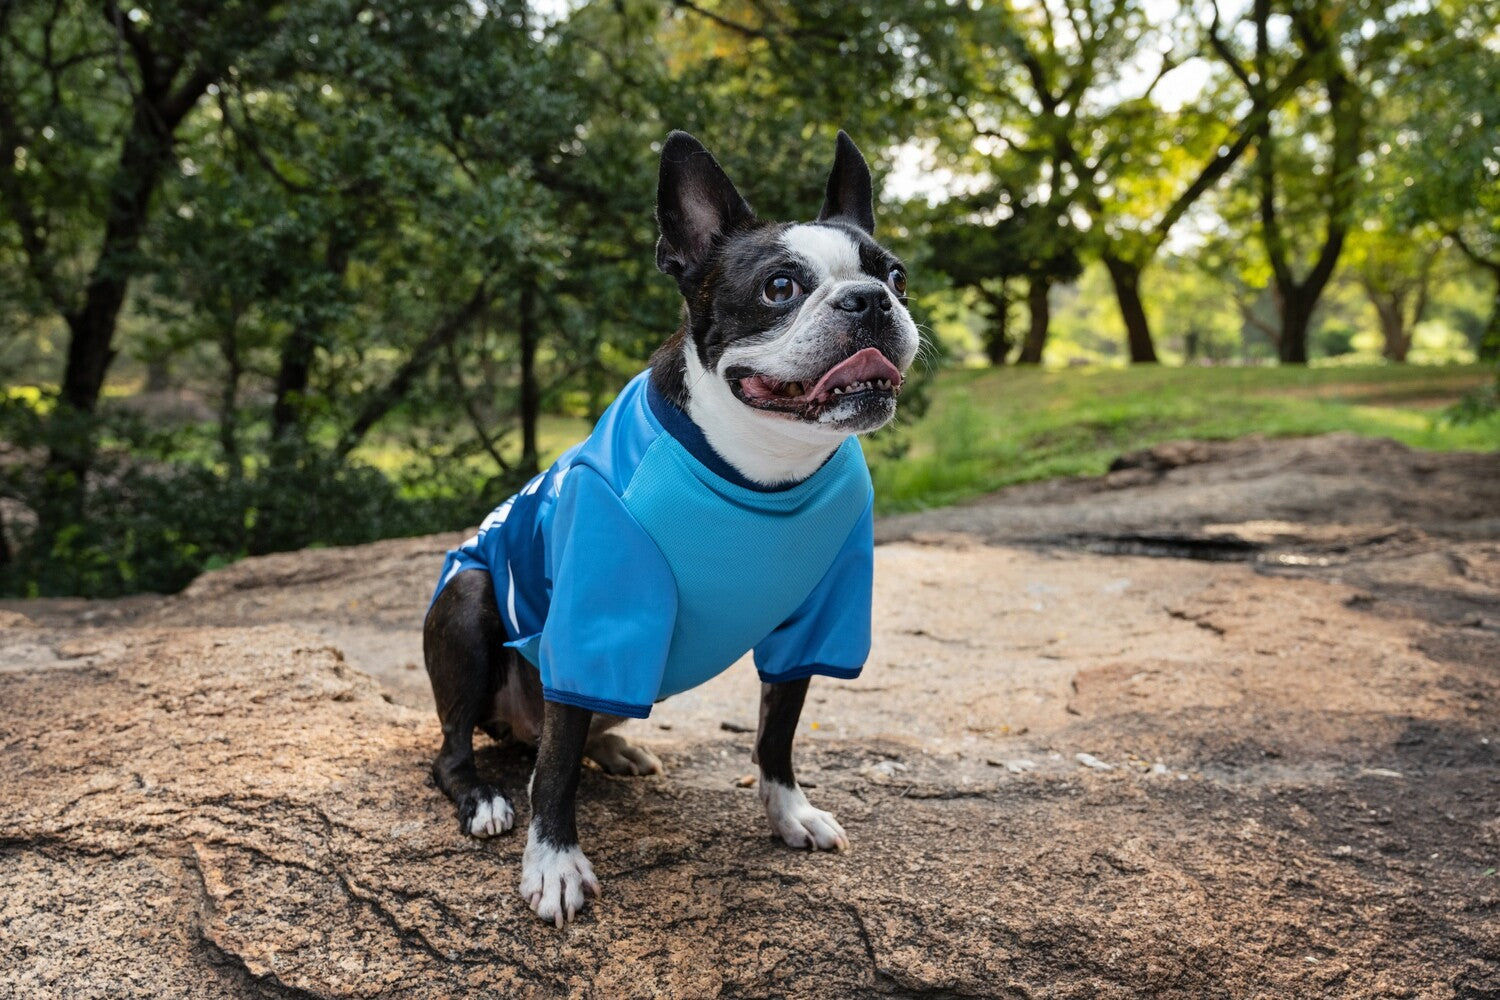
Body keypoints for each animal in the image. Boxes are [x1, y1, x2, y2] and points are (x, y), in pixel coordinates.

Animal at [417, 128, 918, 929]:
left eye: (897, 277)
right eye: (780, 287)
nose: (869, 301)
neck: (760, 468)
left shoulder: (817, 622)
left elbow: (777, 733)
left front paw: (789, 814)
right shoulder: (597, 613)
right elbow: (555, 772)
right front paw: (553, 861)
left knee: (561, 735)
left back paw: (615, 750)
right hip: (468, 601)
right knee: (469, 749)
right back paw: (486, 797)